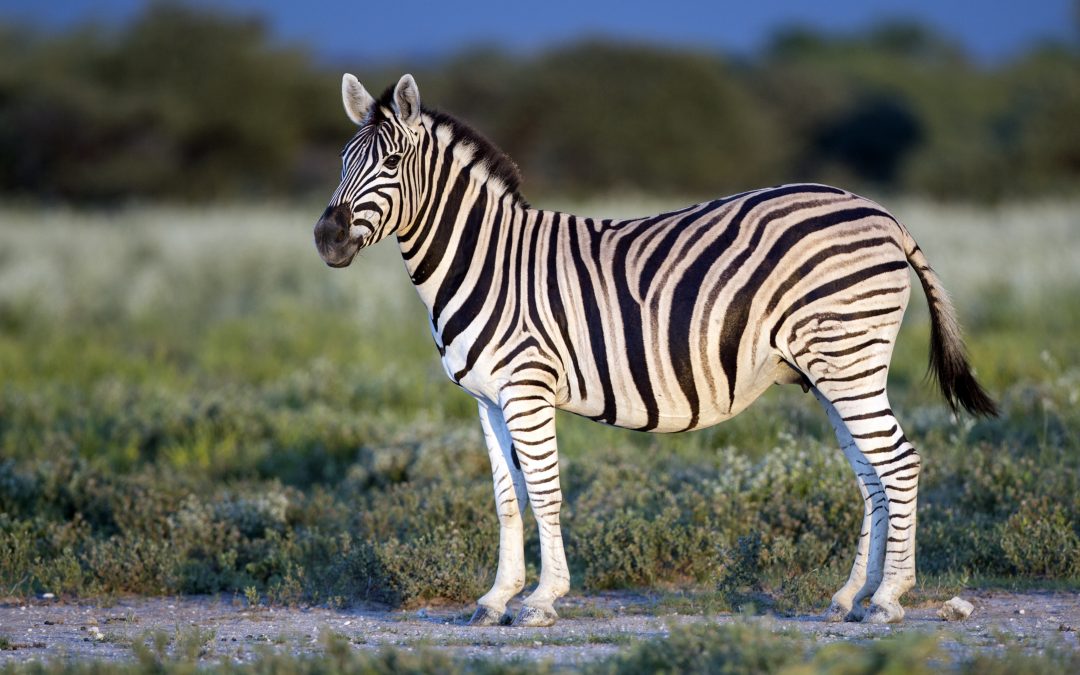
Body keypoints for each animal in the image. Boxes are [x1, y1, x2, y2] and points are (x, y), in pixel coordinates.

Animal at [313, 73, 993, 626]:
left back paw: (888, 600)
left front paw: (541, 600)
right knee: (873, 476)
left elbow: (545, 491)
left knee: (899, 463)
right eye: (342, 160)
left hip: (848, 359)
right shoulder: (486, 399)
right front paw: (496, 598)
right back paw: (852, 595)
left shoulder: (527, 387)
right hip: (832, 371)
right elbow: (507, 499)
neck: (486, 261)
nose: (326, 238)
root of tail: (880, 212)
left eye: (391, 162)